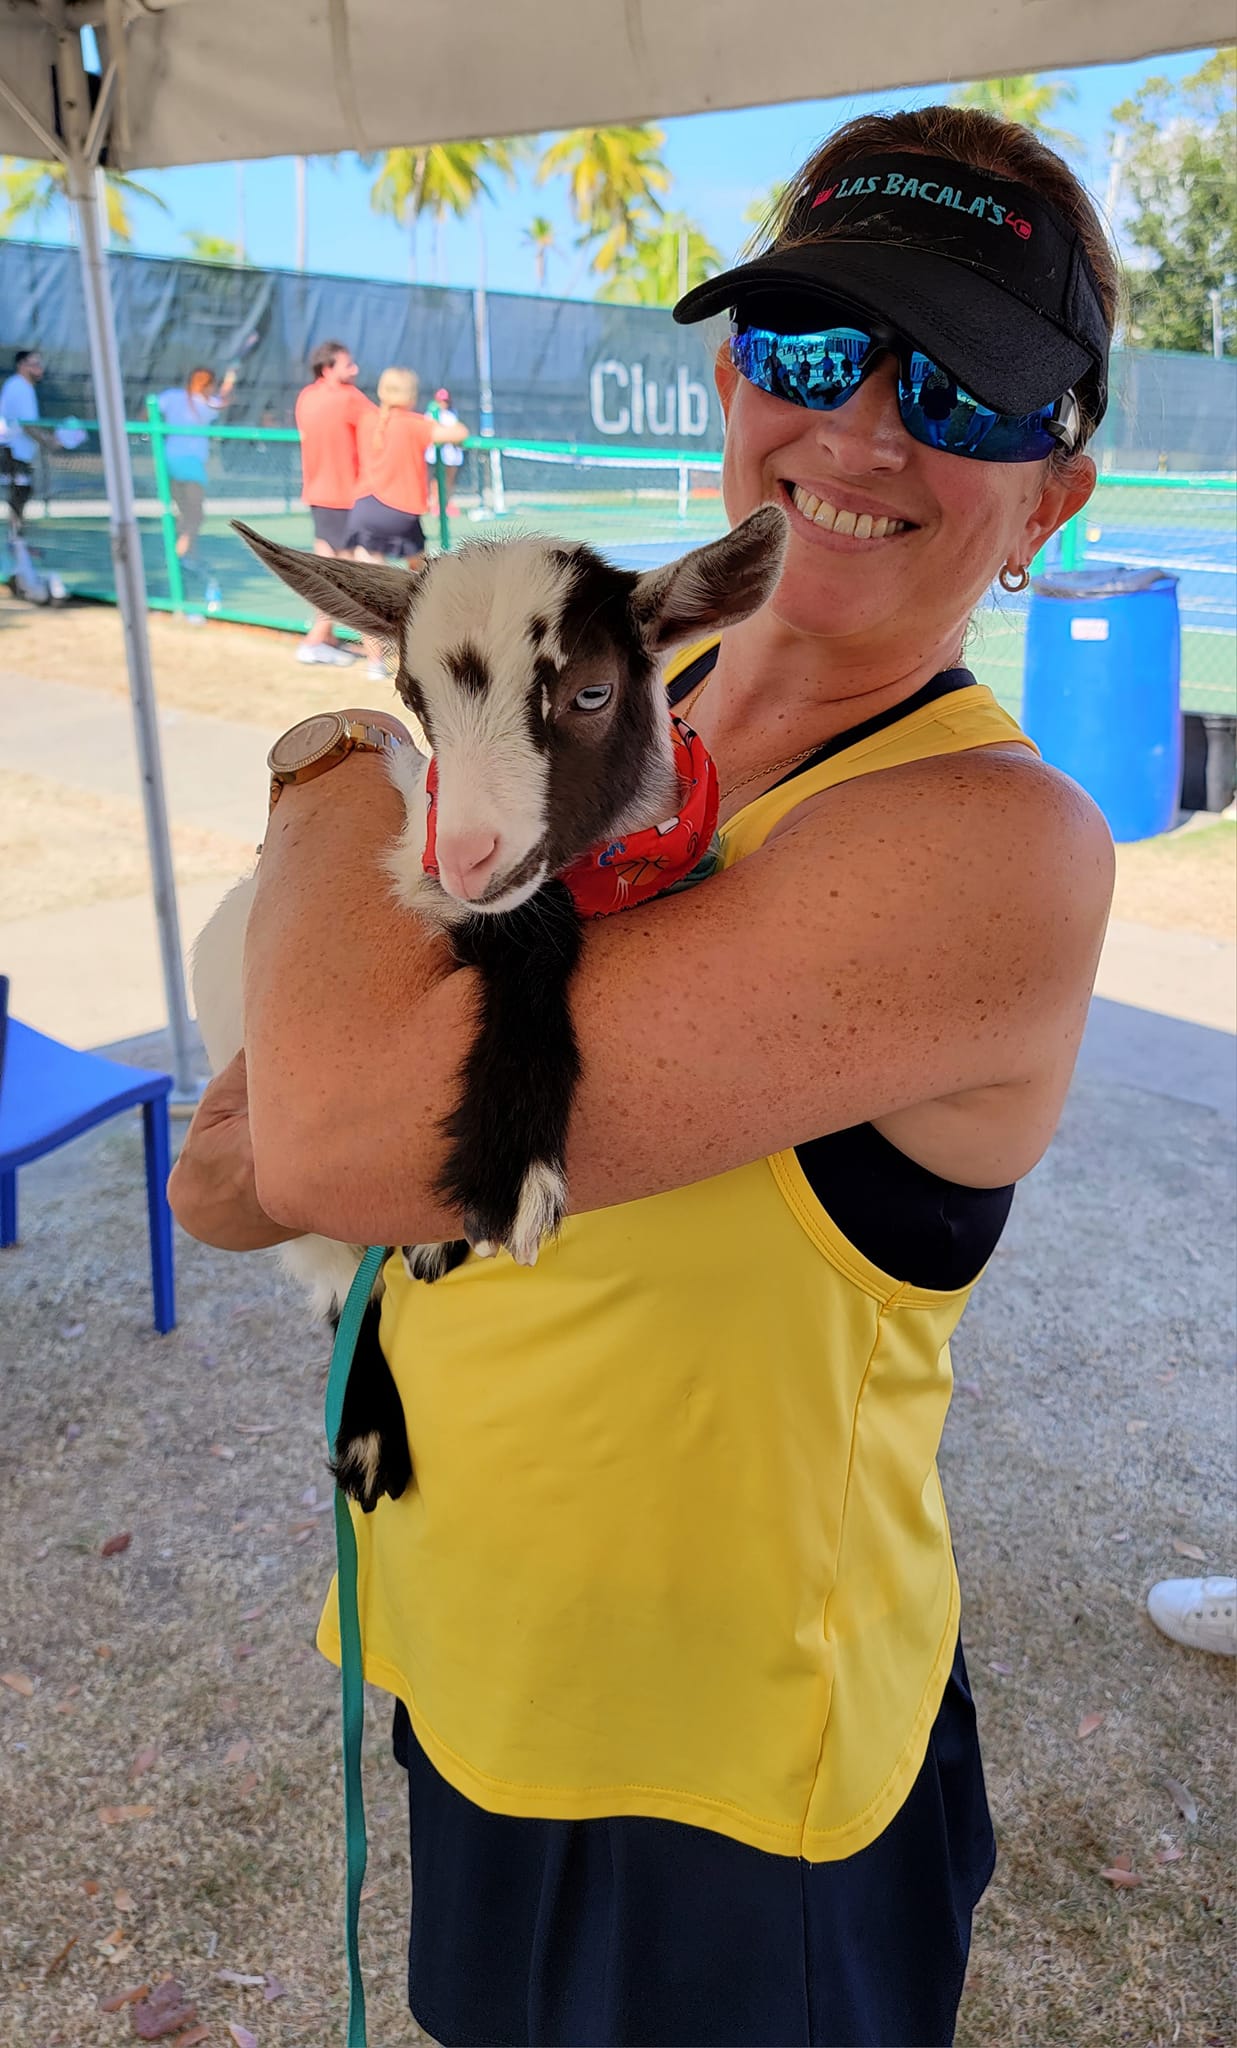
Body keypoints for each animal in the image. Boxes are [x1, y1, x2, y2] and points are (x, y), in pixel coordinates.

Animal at [192, 507, 788, 1511]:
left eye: (591, 693)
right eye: (412, 697)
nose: (465, 859)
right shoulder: (435, 888)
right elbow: (531, 935)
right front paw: (511, 1169)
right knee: (337, 1284)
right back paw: (368, 1433)